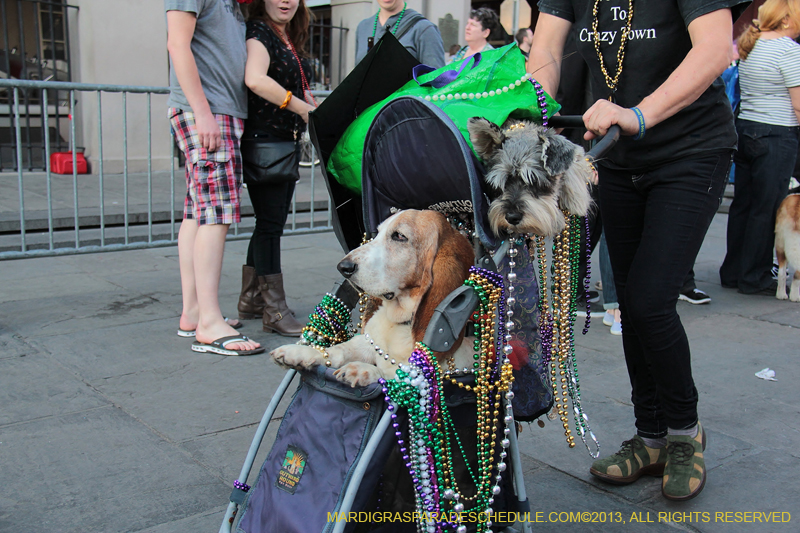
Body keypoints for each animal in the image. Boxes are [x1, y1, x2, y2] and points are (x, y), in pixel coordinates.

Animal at [276, 209, 476, 386]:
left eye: (399, 236)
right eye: (377, 233)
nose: (343, 267)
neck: (400, 321)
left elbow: (394, 374)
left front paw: (361, 369)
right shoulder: (367, 342)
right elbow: (339, 350)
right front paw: (299, 352)